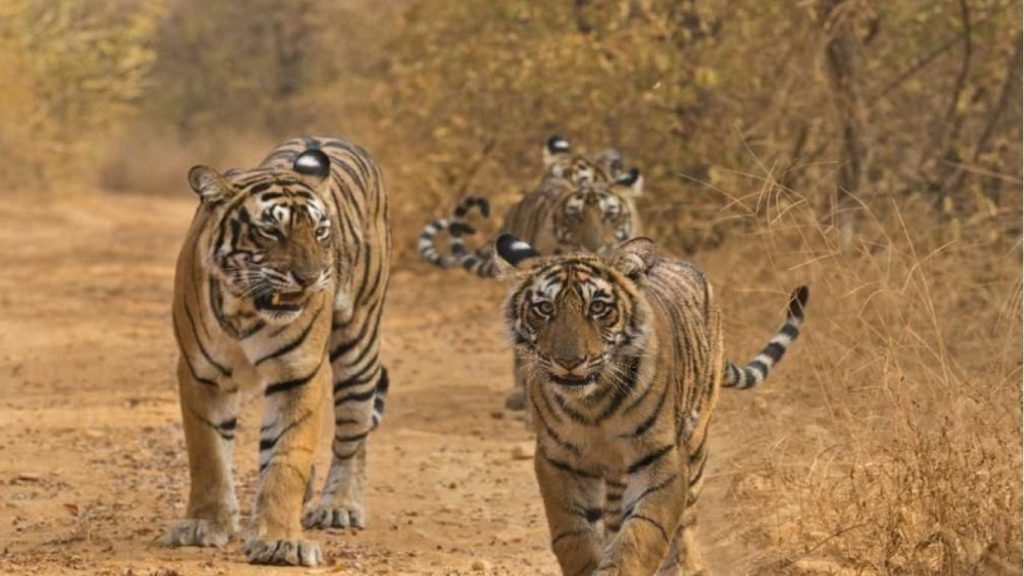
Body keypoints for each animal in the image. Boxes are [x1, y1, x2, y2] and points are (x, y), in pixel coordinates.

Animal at [161, 136, 391, 567]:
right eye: (270, 231)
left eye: (320, 231)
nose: (310, 278)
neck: (245, 308)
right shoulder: (201, 372)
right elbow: (209, 455)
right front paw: (203, 524)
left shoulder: (299, 373)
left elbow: (287, 458)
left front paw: (282, 541)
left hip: (359, 345)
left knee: (353, 433)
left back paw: (339, 505)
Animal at [493, 233, 809, 576]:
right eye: (544, 309)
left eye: (598, 308)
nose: (569, 362)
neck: (594, 406)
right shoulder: (557, 459)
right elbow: (572, 535)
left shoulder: (660, 455)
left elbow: (644, 532)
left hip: (697, 440)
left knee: (687, 515)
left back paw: (688, 564)